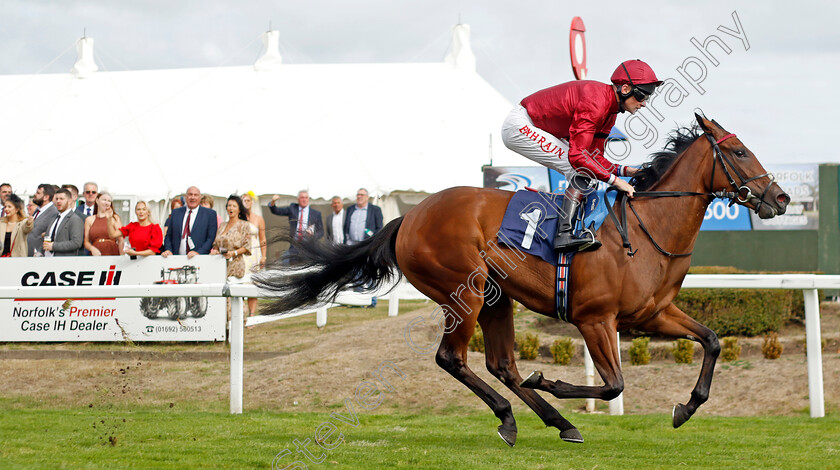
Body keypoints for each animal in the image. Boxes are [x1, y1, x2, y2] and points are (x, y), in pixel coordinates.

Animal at [254, 115, 788, 446]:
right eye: (740, 151)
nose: (780, 198)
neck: (642, 230)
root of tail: (409, 218)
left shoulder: (652, 313)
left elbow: (712, 340)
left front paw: (687, 407)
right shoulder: (595, 319)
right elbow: (612, 385)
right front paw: (549, 379)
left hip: (496, 296)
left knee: (501, 364)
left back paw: (555, 422)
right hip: (463, 290)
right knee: (453, 358)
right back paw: (514, 415)